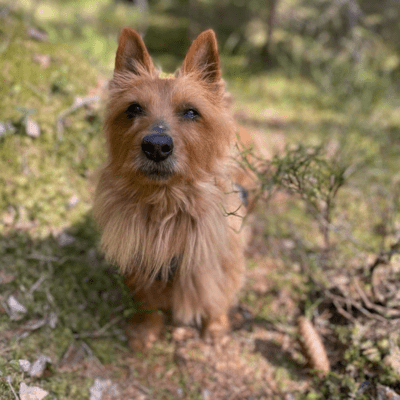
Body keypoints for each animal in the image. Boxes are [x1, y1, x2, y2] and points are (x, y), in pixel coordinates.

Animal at [94, 28, 250, 352]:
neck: (167, 203)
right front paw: (145, 330)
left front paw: (216, 328)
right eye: (133, 108)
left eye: (191, 112)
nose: (156, 146)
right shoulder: (142, 259)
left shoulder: (219, 259)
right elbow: (147, 301)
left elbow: (217, 296)